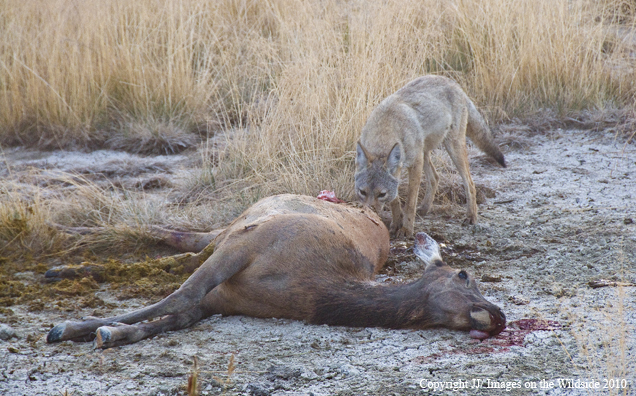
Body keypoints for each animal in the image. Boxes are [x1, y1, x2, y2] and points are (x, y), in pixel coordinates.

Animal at [46, 194, 506, 346]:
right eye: (464, 275)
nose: (498, 316)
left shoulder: (222, 301)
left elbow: (174, 316)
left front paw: (110, 333)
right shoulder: (250, 243)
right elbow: (180, 295)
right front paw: (69, 327)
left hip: (227, 235)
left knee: (180, 242)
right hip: (237, 228)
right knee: (171, 236)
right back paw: (61, 252)